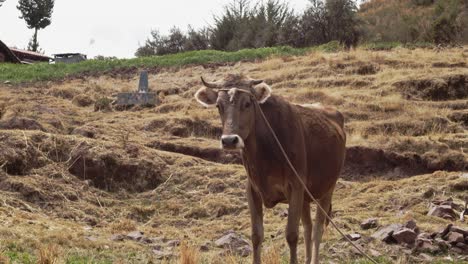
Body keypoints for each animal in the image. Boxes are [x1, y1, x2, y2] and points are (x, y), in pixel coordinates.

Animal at [195, 74, 348, 264]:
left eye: (247, 103)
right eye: (218, 106)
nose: (229, 140)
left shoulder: (295, 186)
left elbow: (291, 234)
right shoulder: (253, 189)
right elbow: (256, 235)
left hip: (328, 188)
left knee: (318, 228)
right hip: (305, 196)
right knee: (308, 226)